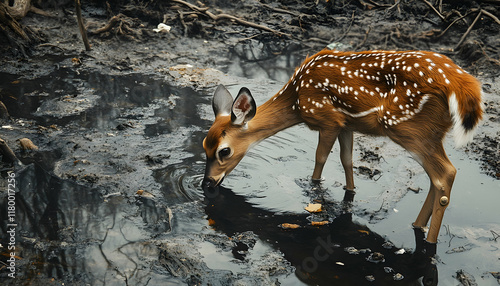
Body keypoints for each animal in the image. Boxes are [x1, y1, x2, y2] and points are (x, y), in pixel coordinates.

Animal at [201, 49, 482, 284]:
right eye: (204, 144)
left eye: (224, 151)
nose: (207, 183)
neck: (296, 100)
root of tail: (460, 85)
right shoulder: (347, 124)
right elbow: (347, 160)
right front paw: (350, 193)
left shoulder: (328, 119)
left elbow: (320, 159)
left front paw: (314, 190)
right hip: (430, 132)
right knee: (438, 176)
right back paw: (417, 225)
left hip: (408, 127)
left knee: (445, 173)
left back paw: (429, 243)